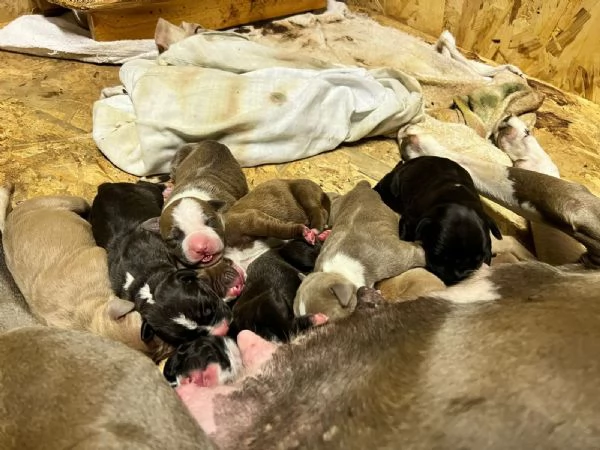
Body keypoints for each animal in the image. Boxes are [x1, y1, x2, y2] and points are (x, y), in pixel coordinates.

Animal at [0, 189, 170, 361]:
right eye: (152, 334)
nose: (170, 347)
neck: (89, 314)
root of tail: (11, 217)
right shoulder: (100, 255)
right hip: (69, 201)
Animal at [90, 181, 234, 346]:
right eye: (189, 337)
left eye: (208, 309)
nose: (222, 330)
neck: (148, 279)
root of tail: (104, 186)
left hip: (145, 191)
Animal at [374, 155, 502, 285]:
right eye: (438, 255)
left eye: (477, 262)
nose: (458, 276)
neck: (458, 199)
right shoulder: (410, 221)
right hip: (391, 188)